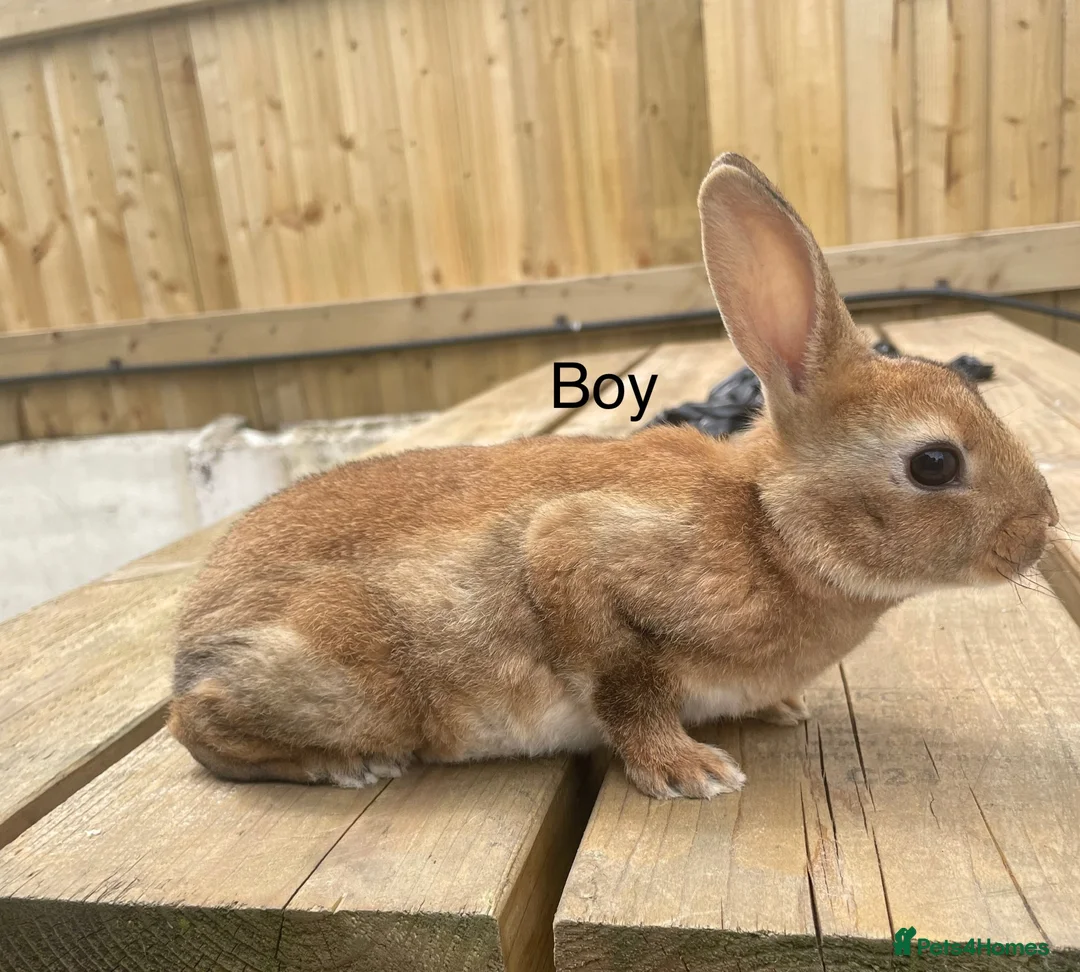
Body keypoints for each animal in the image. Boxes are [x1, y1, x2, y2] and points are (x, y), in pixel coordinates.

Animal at [168, 153, 1059, 800]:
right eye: (934, 463)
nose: (1042, 527)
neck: (769, 524)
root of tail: (190, 644)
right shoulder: (579, 558)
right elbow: (623, 682)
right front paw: (689, 772)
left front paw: (777, 707)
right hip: (347, 681)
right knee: (197, 730)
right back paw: (341, 765)